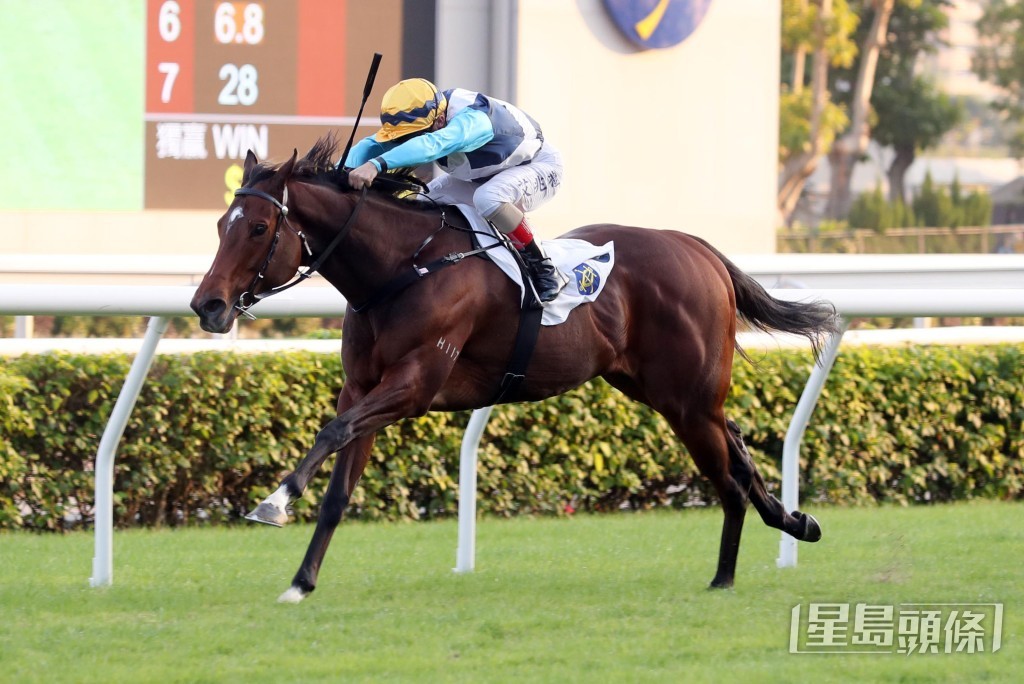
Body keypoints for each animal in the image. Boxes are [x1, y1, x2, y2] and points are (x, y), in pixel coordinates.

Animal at [190, 134, 839, 604]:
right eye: (220, 225)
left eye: (258, 228)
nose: (207, 305)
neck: (402, 268)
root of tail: (698, 247)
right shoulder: (363, 388)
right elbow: (338, 488)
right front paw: (300, 582)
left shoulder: (414, 385)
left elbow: (330, 432)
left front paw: (275, 500)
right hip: (664, 391)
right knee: (737, 447)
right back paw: (794, 522)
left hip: (687, 398)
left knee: (727, 475)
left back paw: (725, 576)